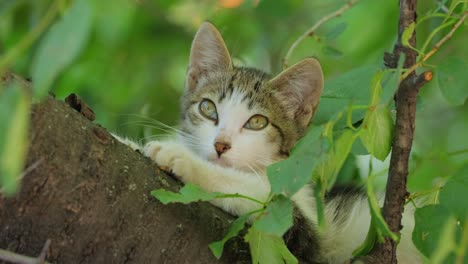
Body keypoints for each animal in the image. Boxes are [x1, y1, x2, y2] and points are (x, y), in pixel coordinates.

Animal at [116, 23, 420, 264]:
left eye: (257, 122)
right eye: (208, 108)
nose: (220, 145)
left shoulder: (309, 237)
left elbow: (251, 191)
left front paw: (182, 159)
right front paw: (126, 142)